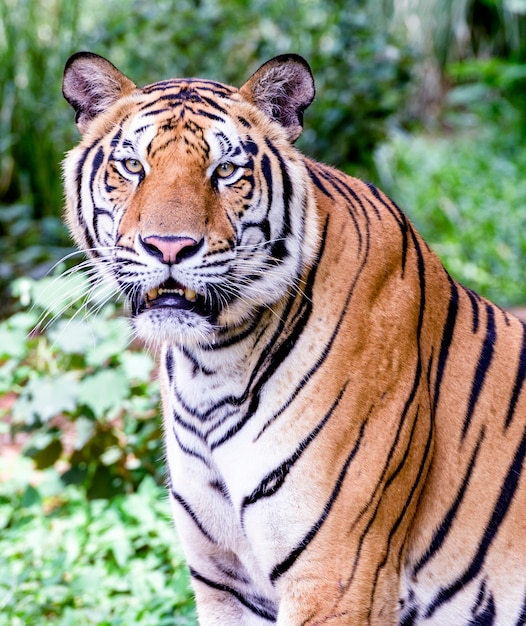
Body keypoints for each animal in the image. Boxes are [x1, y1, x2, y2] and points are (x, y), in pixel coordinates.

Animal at [59, 51, 526, 620]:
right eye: (132, 166)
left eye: (225, 170)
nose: (169, 247)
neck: (211, 366)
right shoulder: (224, 581)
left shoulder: (338, 575)